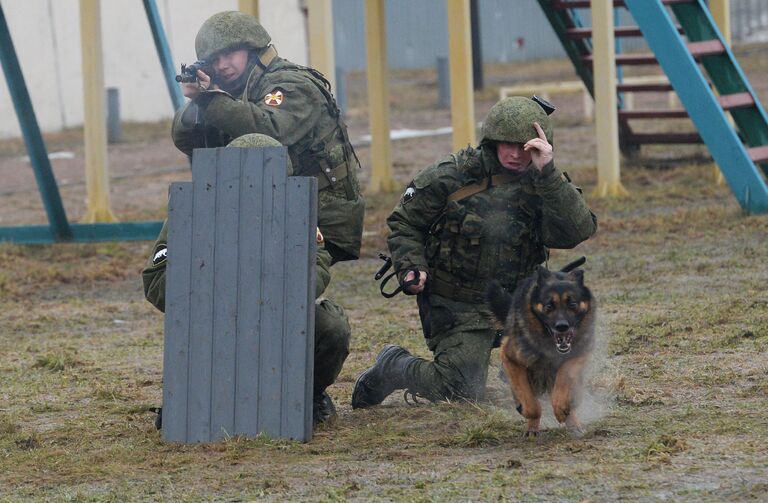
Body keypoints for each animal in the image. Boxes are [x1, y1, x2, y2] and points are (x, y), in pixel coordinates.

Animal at [486, 260, 592, 438]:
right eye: (549, 306)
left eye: (572, 304)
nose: (562, 327)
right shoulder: (510, 358)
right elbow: (529, 401)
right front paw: (532, 419)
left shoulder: (580, 354)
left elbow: (565, 376)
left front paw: (561, 407)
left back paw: (572, 422)